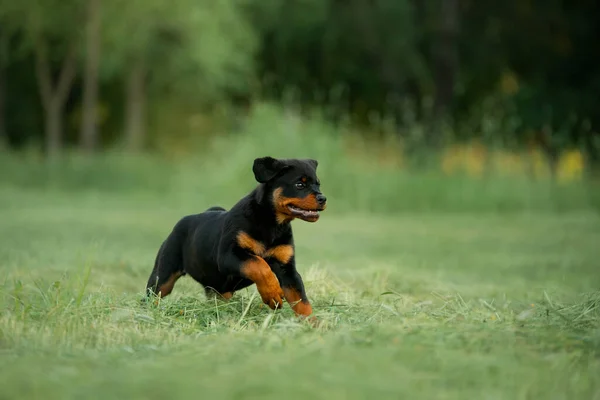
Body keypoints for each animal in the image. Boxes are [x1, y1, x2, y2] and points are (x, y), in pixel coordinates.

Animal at [145, 155, 326, 318]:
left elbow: (301, 301)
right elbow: (259, 264)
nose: (323, 198)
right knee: (153, 294)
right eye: (299, 184)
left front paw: (313, 325)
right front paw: (272, 293)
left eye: (318, 184)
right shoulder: (228, 255)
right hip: (163, 273)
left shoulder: (287, 270)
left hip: (220, 290)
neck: (272, 223)